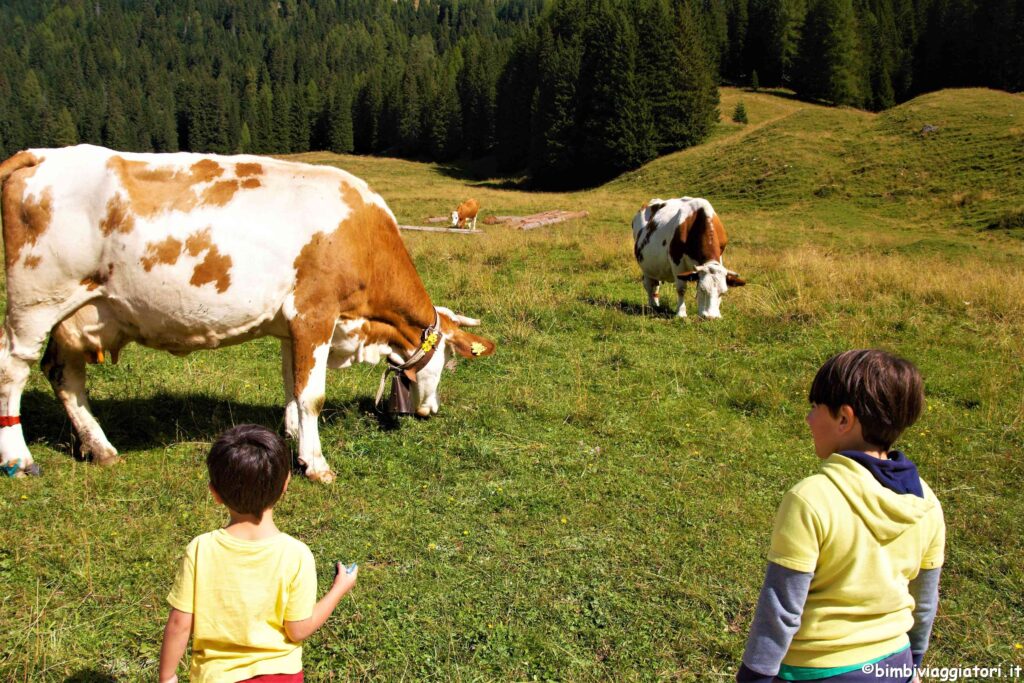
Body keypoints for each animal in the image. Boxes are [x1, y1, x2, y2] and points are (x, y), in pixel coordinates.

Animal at [0, 144, 495, 481]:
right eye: (448, 364)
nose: (430, 410)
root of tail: (40, 155)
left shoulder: (292, 326)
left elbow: (292, 387)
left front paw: (294, 440)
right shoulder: (316, 313)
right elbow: (311, 395)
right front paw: (316, 464)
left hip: (76, 313)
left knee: (64, 374)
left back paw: (100, 447)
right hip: (35, 301)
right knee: (13, 369)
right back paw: (19, 459)